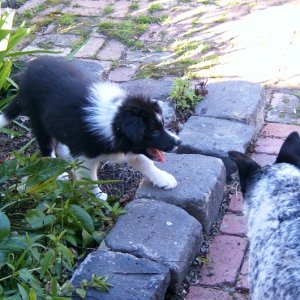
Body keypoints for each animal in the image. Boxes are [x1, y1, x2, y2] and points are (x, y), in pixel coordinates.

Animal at [0, 57, 180, 200]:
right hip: (38, 119)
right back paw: (59, 171)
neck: (112, 119)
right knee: (46, 146)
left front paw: (162, 178)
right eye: (155, 132)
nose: (178, 142)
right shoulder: (86, 155)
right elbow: (90, 177)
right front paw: (98, 196)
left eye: (162, 125)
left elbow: (145, 162)